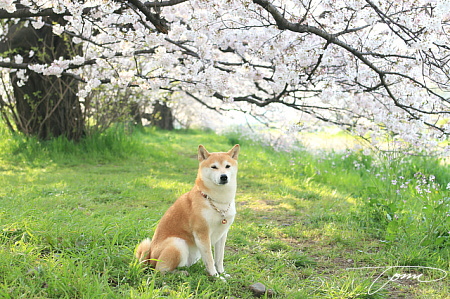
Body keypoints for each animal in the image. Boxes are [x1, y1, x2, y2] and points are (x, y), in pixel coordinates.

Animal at [136, 144, 239, 278]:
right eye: (214, 167)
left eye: (227, 166)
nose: (223, 176)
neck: (217, 201)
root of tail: (150, 257)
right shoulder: (202, 234)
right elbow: (210, 259)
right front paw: (215, 276)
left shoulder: (222, 234)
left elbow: (219, 258)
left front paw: (222, 273)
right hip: (177, 243)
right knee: (160, 270)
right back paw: (179, 273)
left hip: (194, 254)